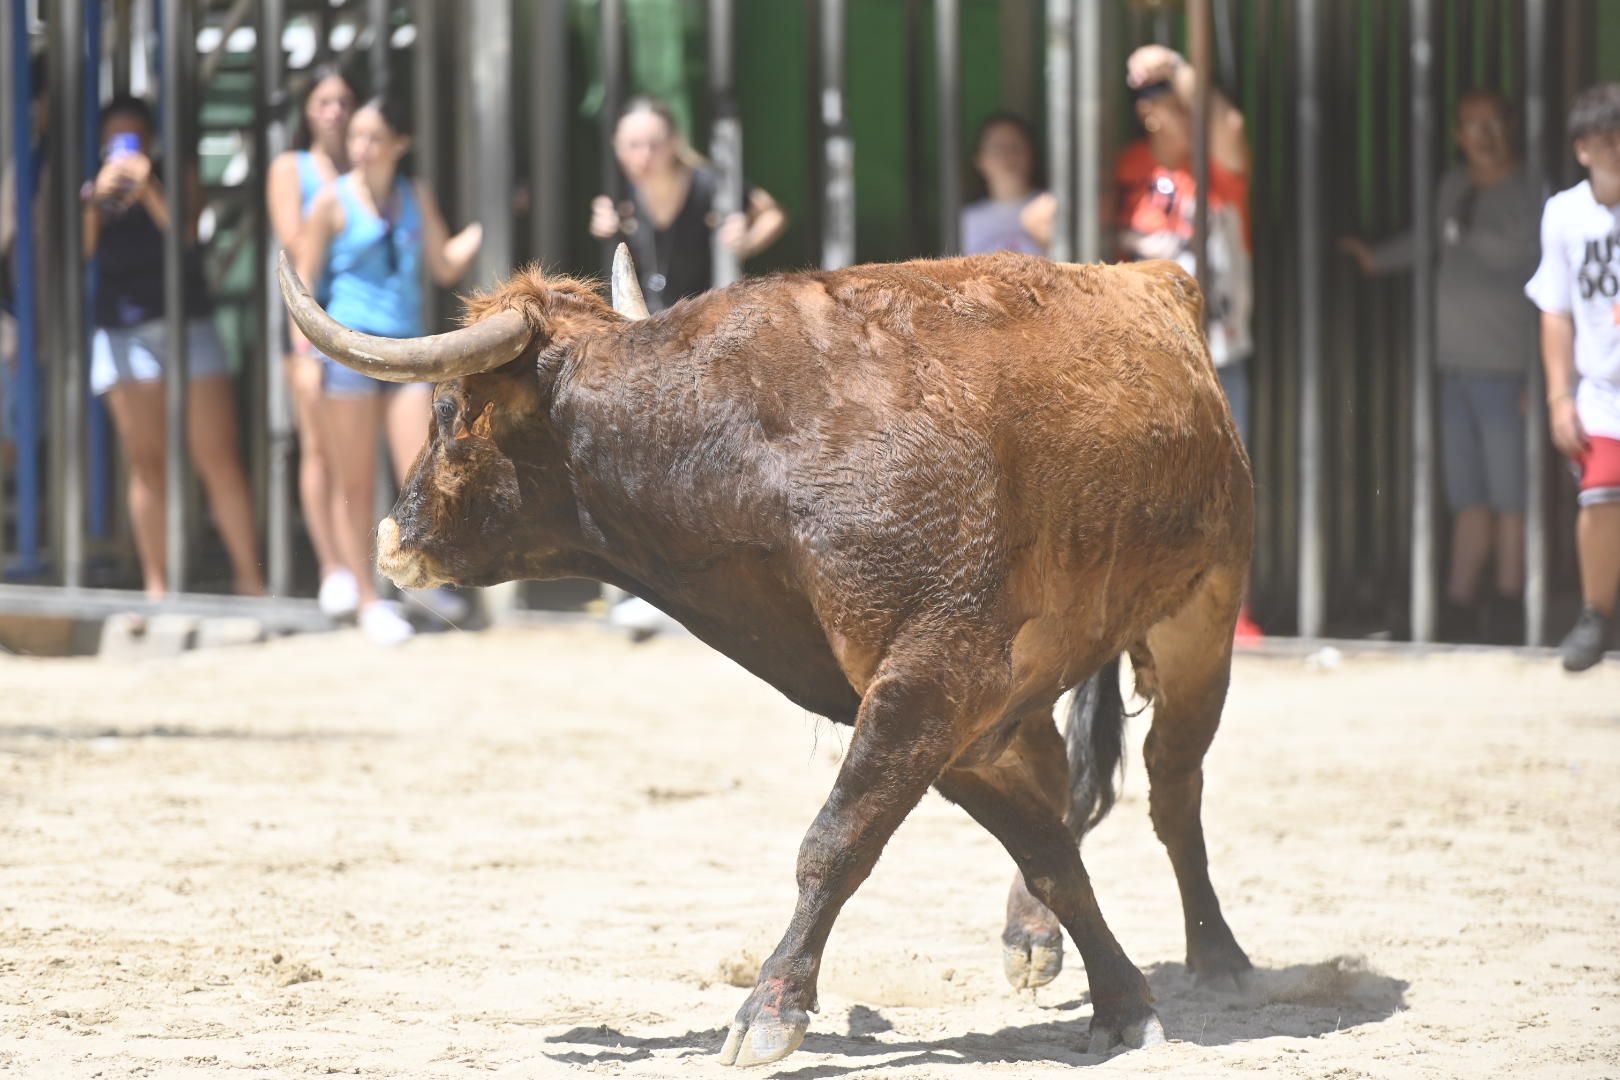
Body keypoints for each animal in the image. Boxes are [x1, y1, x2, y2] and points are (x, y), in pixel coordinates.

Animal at [281, 244, 1250, 1062]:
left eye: (447, 411)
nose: (390, 540)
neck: (745, 445)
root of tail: (1153, 281)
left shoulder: (931, 682)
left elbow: (836, 842)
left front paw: (770, 1008)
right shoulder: (956, 718)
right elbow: (1049, 856)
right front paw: (1120, 999)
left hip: (1203, 617)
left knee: (1175, 787)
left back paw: (1221, 954)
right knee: (1065, 791)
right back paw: (1038, 942)